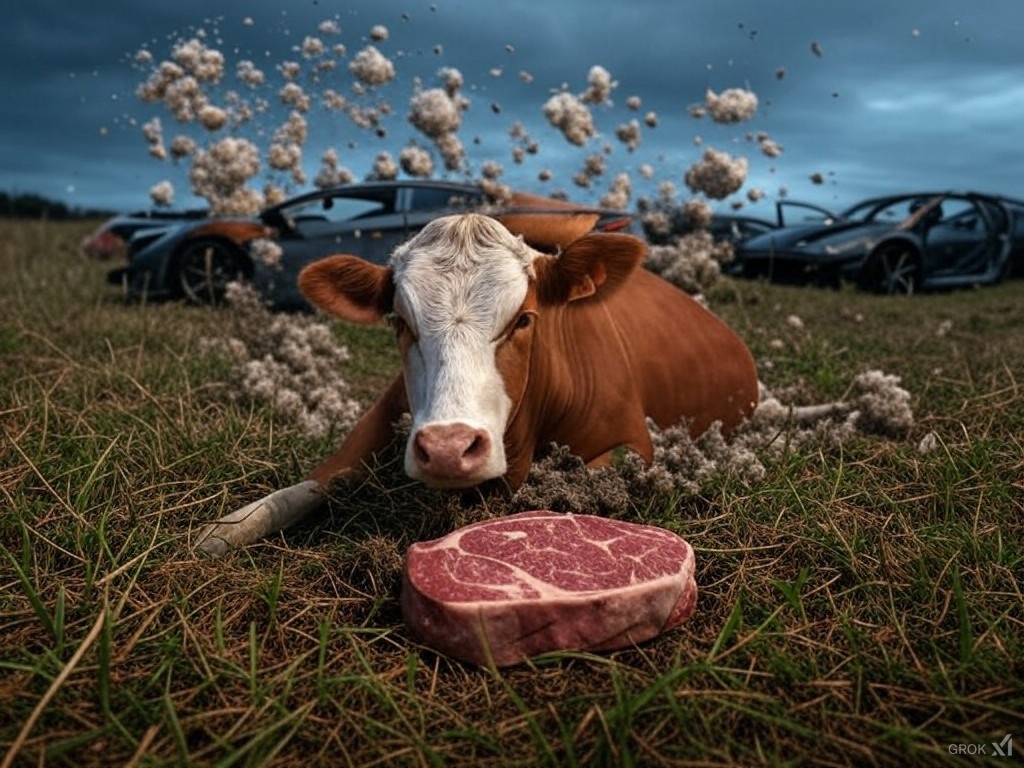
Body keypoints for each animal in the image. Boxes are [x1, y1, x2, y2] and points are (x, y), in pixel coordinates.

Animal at [195, 212, 759, 555]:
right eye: (400, 322)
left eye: (525, 319)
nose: (448, 448)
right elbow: (297, 490)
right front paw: (223, 529)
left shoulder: (630, 442)